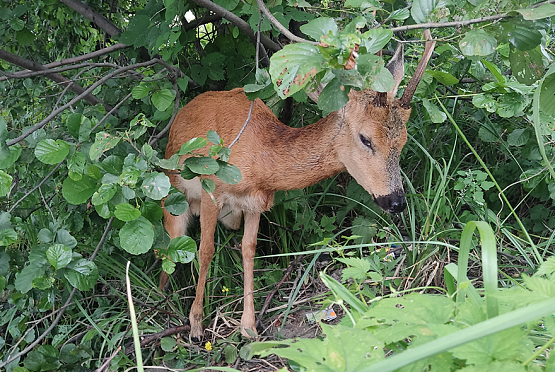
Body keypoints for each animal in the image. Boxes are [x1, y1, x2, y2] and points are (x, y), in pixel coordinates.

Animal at [160, 31, 434, 340]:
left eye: (403, 140)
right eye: (366, 139)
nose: (396, 201)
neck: (258, 160)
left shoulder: (255, 204)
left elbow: (249, 249)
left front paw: (249, 326)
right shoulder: (211, 189)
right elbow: (205, 249)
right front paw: (196, 324)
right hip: (173, 197)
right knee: (169, 245)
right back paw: (163, 296)